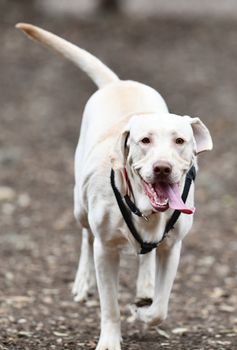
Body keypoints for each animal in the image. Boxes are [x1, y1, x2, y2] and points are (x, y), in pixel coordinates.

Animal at [16, 23, 213, 348]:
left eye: (180, 140)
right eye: (144, 140)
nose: (162, 168)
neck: (146, 210)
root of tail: (118, 83)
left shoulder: (173, 247)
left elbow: (160, 306)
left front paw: (144, 309)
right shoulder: (105, 251)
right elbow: (110, 305)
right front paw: (109, 339)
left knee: (147, 258)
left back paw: (145, 284)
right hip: (79, 206)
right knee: (86, 236)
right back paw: (83, 282)